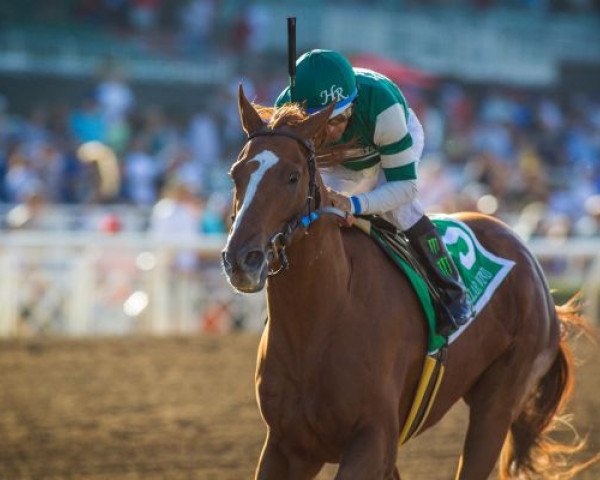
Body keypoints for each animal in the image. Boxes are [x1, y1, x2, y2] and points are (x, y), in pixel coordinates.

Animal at [221, 87, 592, 480]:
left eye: (292, 177)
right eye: (235, 174)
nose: (241, 259)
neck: (322, 322)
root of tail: (526, 255)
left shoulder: (373, 440)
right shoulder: (288, 446)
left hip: (499, 402)